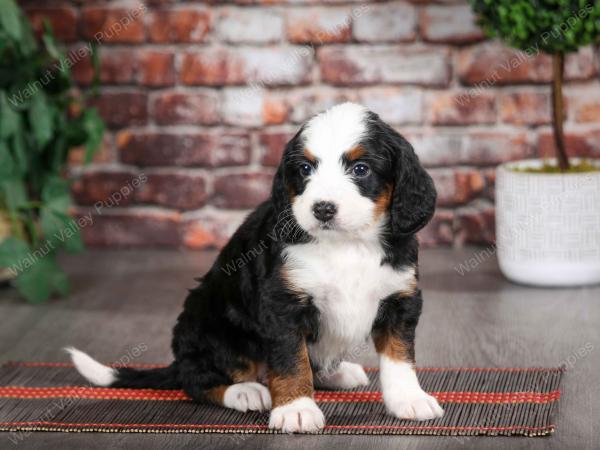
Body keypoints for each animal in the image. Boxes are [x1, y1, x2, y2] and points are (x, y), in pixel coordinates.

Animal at [70, 102, 442, 432]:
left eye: (360, 169)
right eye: (305, 170)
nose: (322, 208)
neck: (347, 244)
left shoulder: (400, 298)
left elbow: (399, 358)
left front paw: (409, 399)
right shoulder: (282, 303)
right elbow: (291, 360)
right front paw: (296, 409)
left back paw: (336, 372)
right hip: (208, 324)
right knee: (198, 378)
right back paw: (245, 391)